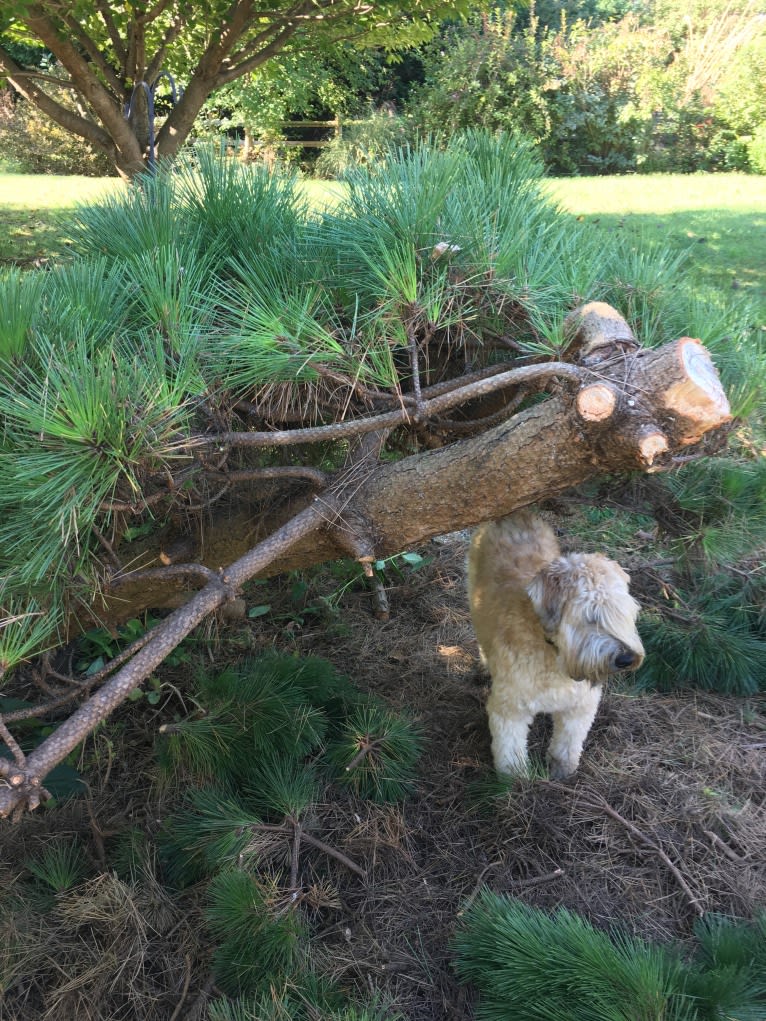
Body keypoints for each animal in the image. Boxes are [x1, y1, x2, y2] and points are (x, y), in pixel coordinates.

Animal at [471, 514, 645, 775]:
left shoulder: (580, 706)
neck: (554, 652)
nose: (626, 659)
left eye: (623, 612)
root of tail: (515, 516)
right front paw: (515, 778)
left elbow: (568, 740)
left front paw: (562, 769)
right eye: (591, 615)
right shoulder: (510, 707)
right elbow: (510, 748)